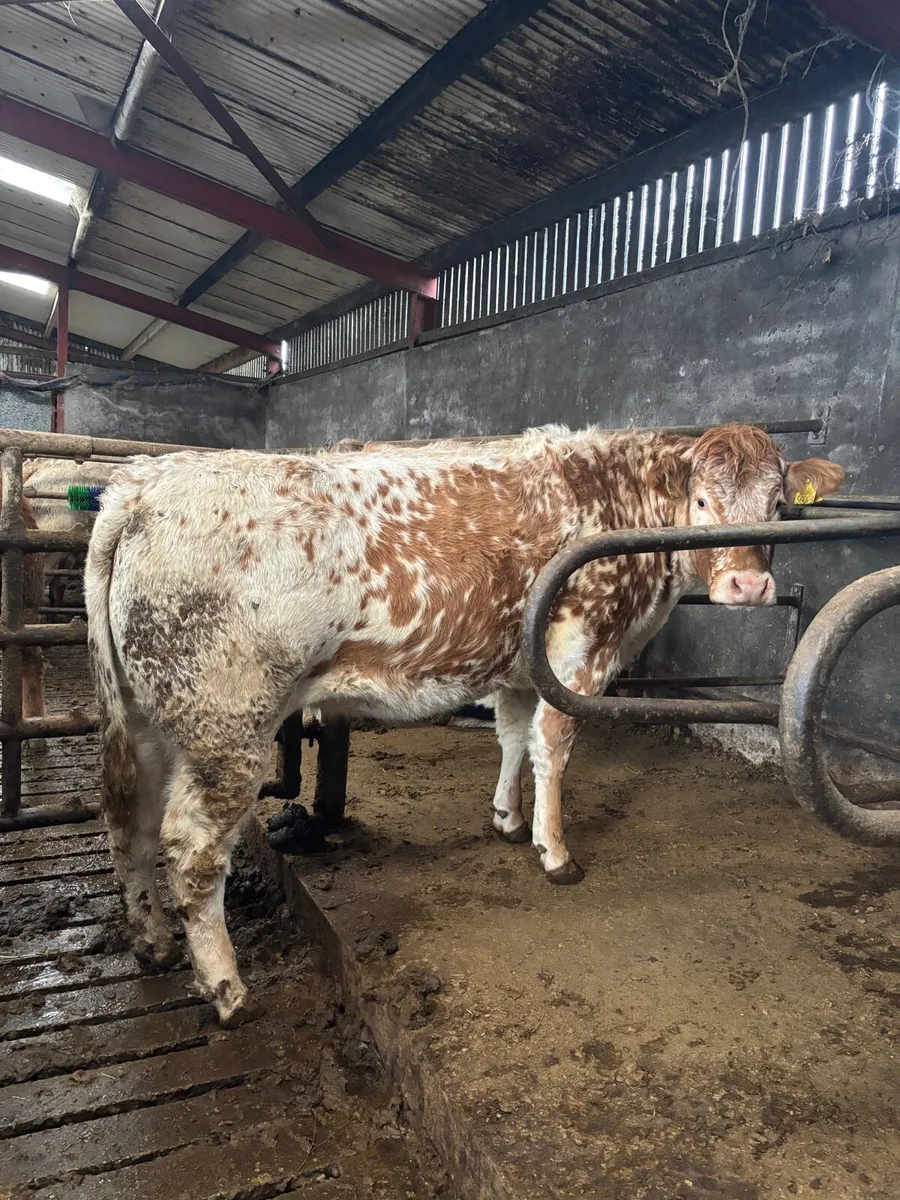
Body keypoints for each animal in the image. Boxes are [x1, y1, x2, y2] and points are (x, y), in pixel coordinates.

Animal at [84, 423, 844, 1025]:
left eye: (778, 504)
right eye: (703, 501)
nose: (748, 587)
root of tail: (144, 482)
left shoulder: (519, 663)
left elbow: (512, 735)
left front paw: (508, 817)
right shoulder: (580, 652)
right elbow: (553, 745)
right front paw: (554, 851)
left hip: (143, 715)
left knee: (127, 816)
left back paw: (152, 941)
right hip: (228, 725)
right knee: (191, 847)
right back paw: (227, 988)